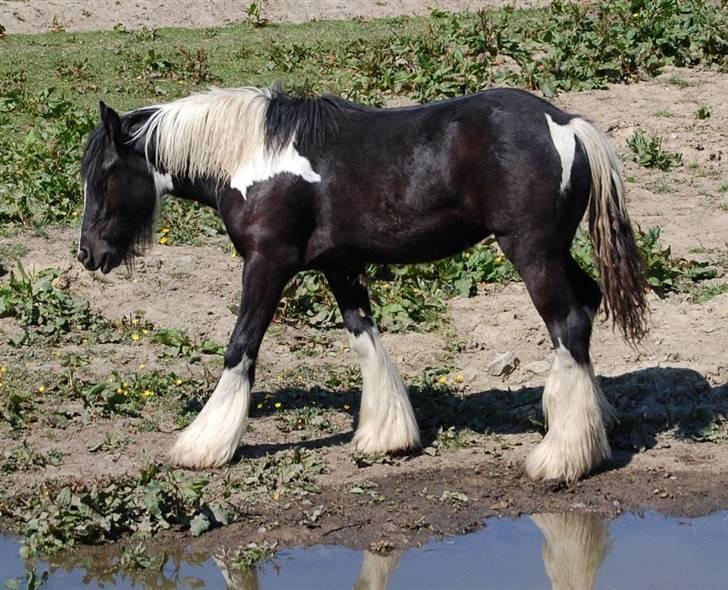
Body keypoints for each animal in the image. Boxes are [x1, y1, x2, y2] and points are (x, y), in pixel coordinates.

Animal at [78, 88, 648, 486]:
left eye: (103, 176)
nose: (88, 254)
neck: (253, 159)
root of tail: (566, 125)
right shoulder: (341, 265)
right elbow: (364, 337)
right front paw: (386, 437)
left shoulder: (266, 265)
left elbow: (241, 346)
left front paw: (203, 445)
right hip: (553, 251)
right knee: (586, 308)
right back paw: (586, 423)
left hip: (532, 253)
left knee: (567, 323)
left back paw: (561, 458)